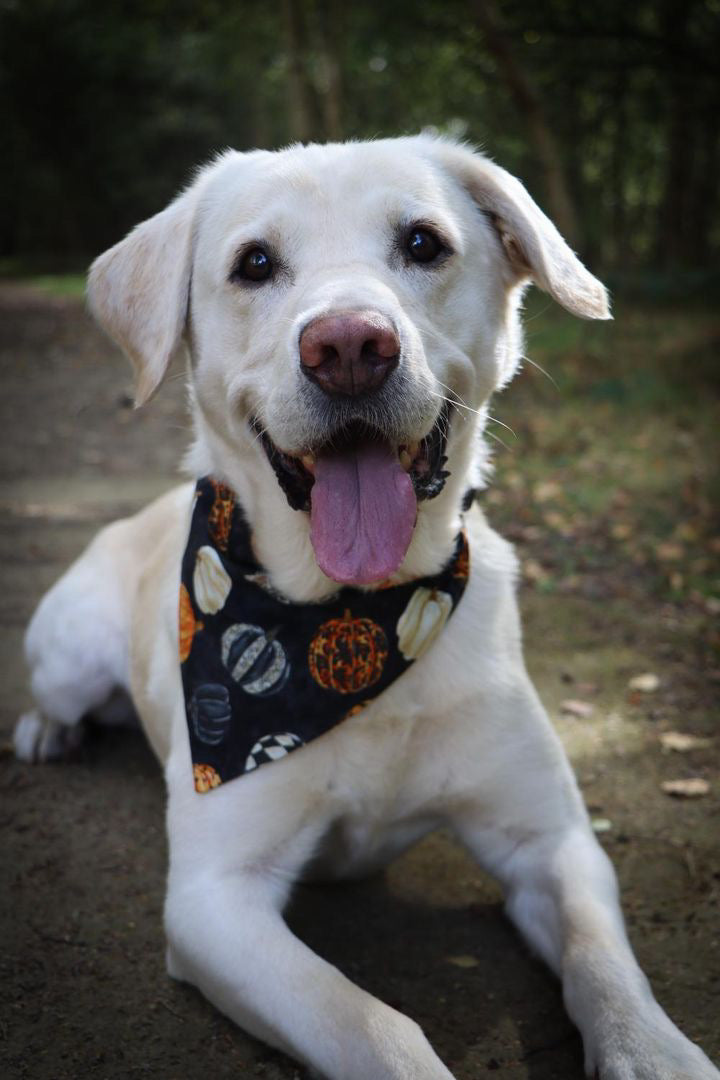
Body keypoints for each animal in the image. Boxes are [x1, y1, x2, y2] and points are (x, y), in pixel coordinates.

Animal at [12, 139, 720, 1075]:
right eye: (255, 264)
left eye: (422, 243)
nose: (349, 345)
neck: (356, 618)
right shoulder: (215, 897)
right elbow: (376, 1027)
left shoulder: (552, 842)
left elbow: (606, 966)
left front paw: (657, 1049)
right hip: (67, 655)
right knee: (57, 698)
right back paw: (44, 732)